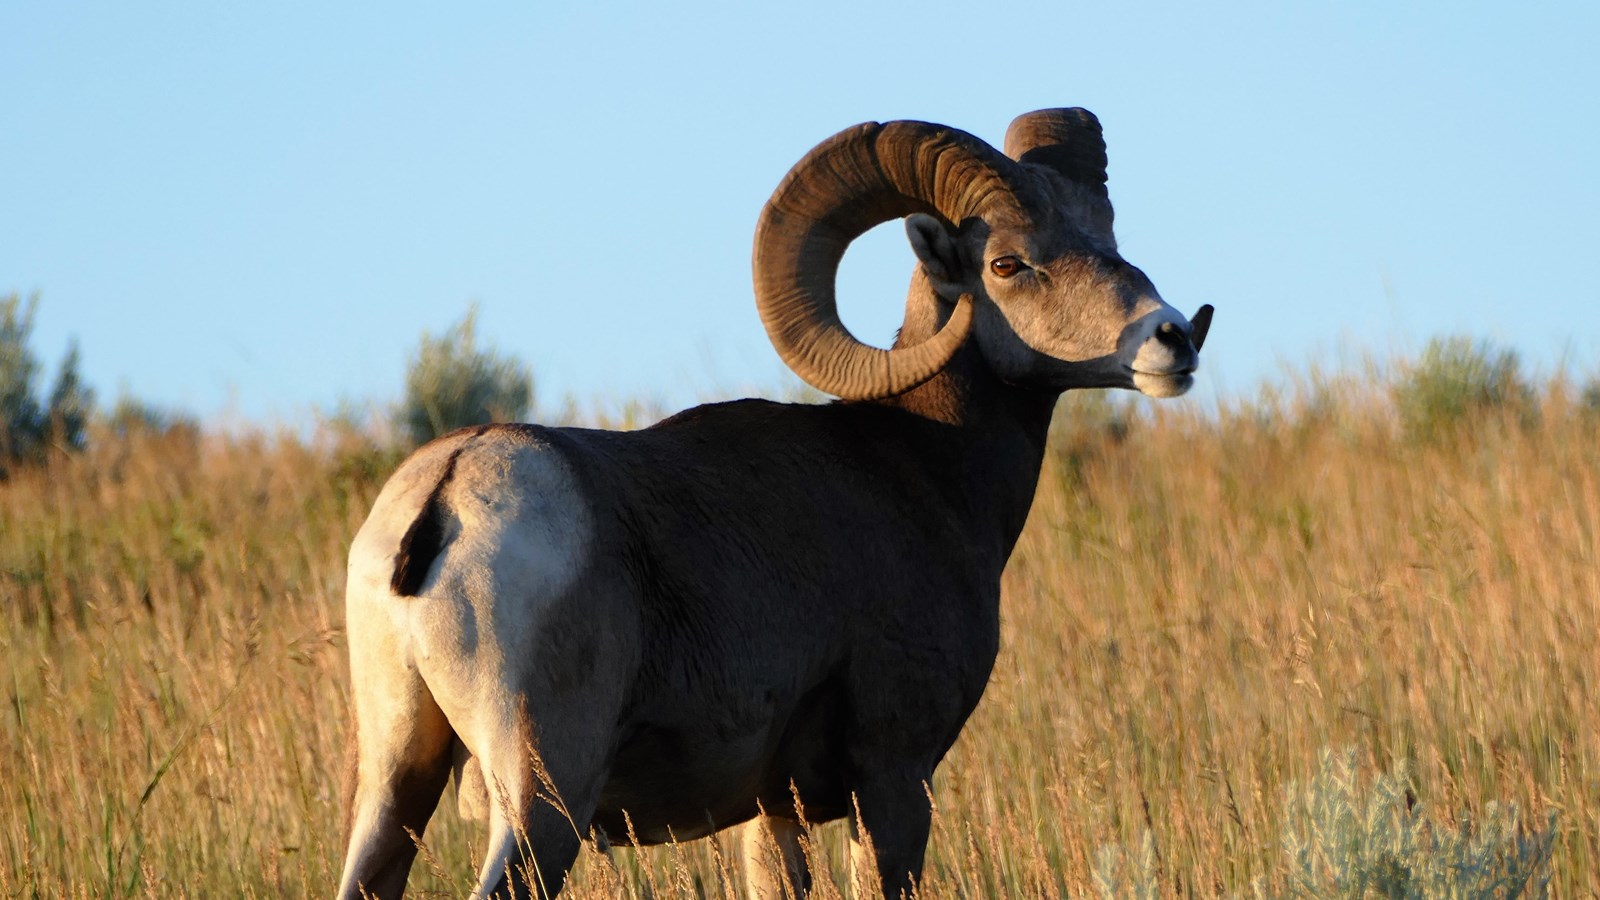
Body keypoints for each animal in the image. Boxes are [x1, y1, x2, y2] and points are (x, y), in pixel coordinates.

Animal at [337, 107, 1213, 900]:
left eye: (1106, 238)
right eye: (1007, 264)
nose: (1173, 340)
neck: (922, 467)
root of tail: (446, 495)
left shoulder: (771, 812)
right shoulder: (893, 780)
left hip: (396, 785)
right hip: (542, 799)